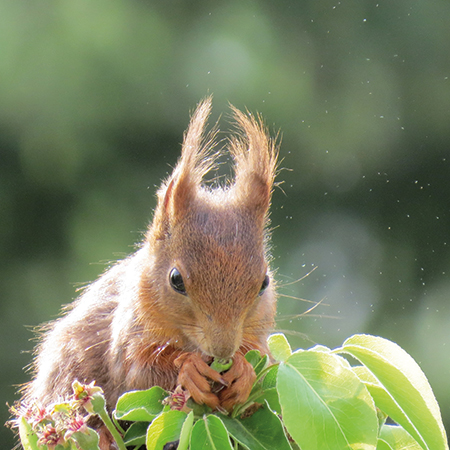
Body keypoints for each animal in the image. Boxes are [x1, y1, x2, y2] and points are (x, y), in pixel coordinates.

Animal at [23, 97, 282, 446]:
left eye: (264, 282)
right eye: (176, 280)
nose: (222, 349)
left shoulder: (256, 332)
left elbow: (259, 363)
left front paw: (244, 372)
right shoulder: (129, 329)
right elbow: (136, 371)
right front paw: (188, 370)